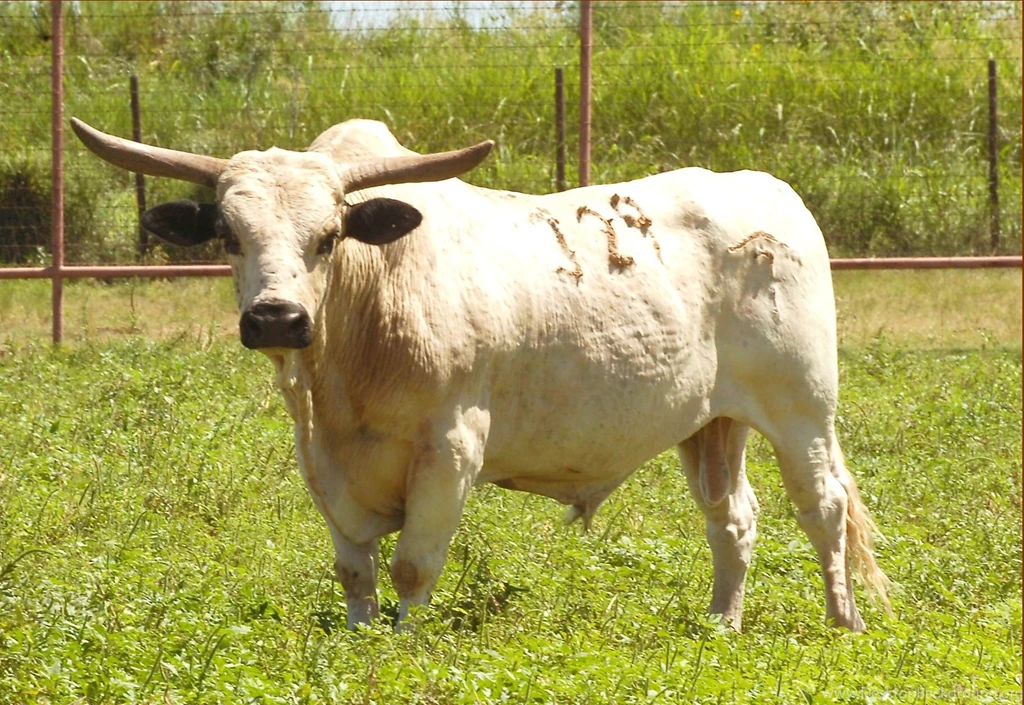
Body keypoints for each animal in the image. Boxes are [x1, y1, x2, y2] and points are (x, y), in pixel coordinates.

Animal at [71, 117, 891, 633]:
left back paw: (841, 620)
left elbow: (411, 566)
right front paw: (362, 639)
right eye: (230, 236)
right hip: (713, 421)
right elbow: (357, 572)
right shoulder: (324, 463)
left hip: (802, 410)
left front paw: (401, 648)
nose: (276, 318)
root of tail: (772, 193)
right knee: (732, 517)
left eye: (329, 236)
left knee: (822, 509)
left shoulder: (451, 448)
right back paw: (722, 622)